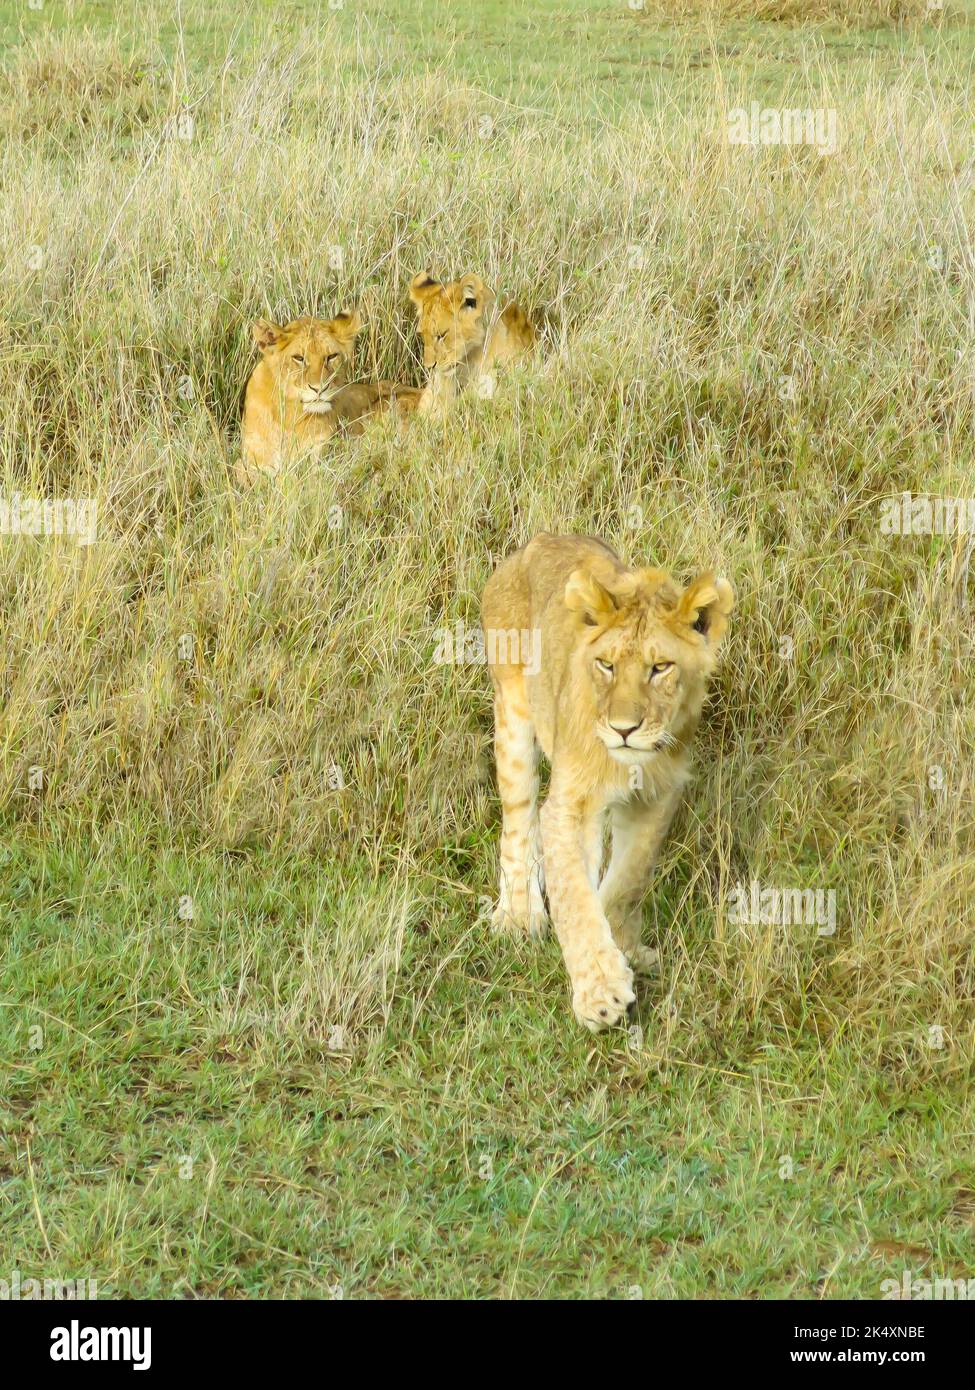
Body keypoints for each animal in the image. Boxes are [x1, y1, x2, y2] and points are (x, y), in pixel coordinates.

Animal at [237, 312, 420, 486]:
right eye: (299, 358)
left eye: (331, 356)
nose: (319, 388)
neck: (290, 414)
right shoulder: (252, 460)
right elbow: (243, 472)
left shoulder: (321, 463)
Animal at [478, 530, 728, 1034]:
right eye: (606, 665)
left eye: (660, 667)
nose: (623, 729)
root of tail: (541, 539)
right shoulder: (572, 803)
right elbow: (576, 897)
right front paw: (601, 993)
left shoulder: (657, 798)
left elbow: (626, 881)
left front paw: (626, 951)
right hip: (512, 710)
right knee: (518, 822)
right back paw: (519, 915)